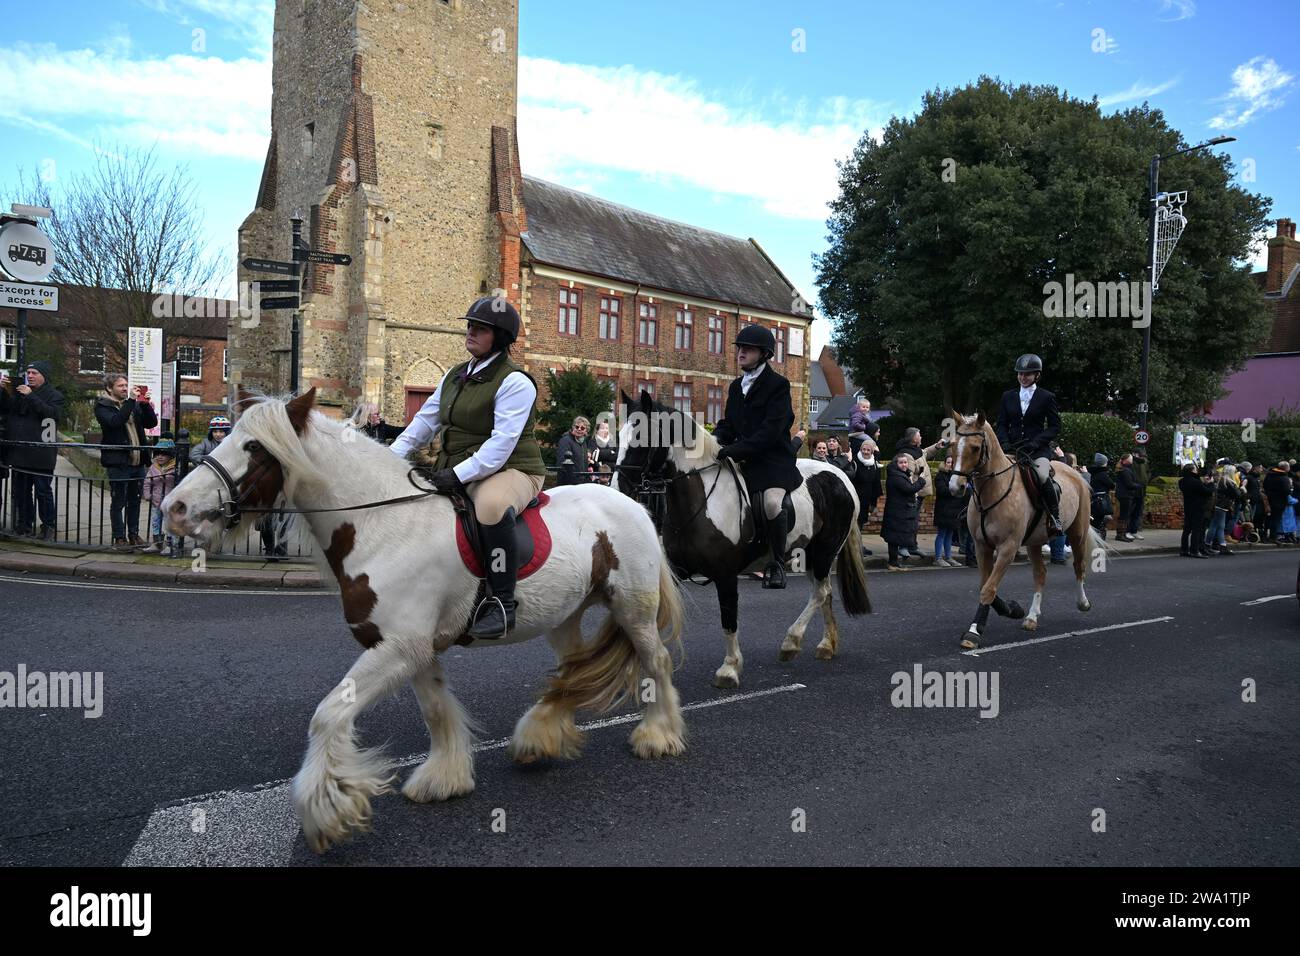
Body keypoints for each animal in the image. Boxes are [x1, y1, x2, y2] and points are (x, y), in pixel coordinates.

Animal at [161, 392, 686, 858]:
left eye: (253, 447)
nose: (174, 509)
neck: (383, 526)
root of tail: (631, 502)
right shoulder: (413, 648)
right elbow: (435, 710)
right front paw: (444, 779)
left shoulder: (396, 648)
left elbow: (327, 715)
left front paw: (328, 810)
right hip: (565, 616)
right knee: (574, 671)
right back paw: (540, 737)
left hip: (633, 608)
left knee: (655, 662)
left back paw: (658, 736)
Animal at [613, 390, 868, 686]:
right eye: (619, 436)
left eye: (640, 438)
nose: (617, 489)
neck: (701, 499)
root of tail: (841, 476)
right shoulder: (675, 572)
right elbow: (652, 618)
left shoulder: (725, 574)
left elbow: (729, 617)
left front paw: (730, 668)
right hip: (809, 554)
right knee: (823, 592)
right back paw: (827, 645)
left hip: (825, 550)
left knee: (820, 593)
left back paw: (791, 642)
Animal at [946, 411, 1107, 650]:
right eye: (953, 444)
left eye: (975, 448)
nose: (955, 487)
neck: (993, 492)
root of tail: (1075, 473)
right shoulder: (981, 546)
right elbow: (986, 585)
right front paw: (1012, 609)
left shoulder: (1008, 548)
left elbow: (988, 588)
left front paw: (973, 631)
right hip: (1034, 541)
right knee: (1040, 573)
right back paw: (1031, 616)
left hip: (1077, 533)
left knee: (1079, 567)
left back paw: (1083, 602)